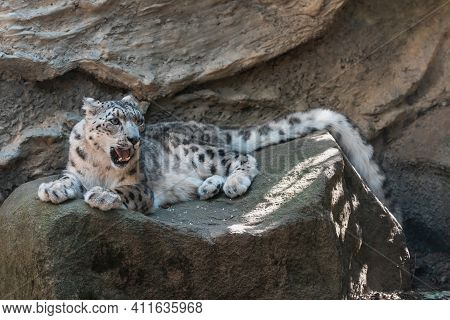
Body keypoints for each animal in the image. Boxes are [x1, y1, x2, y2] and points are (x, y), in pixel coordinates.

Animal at [37, 95, 386, 215]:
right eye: (115, 120)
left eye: (140, 121)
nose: (135, 140)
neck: (100, 165)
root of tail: (210, 126)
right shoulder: (76, 170)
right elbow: (68, 180)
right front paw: (52, 189)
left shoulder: (142, 187)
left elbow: (125, 191)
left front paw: (101, 195)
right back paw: (208, 187)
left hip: (198, 152)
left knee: (240, 158)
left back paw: (233, 184)